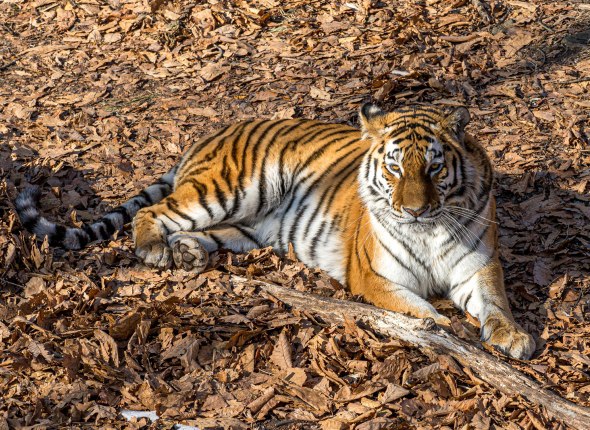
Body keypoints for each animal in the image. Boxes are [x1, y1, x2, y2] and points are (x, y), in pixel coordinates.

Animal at [17, 104, 536, 360]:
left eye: (433, 167)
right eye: (393, 168)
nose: (414, 210)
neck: (430, 229)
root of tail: (209, 136)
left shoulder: (478, 267)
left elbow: (496, 303)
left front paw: (513, 337)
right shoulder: (376, 277)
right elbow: (422, 312)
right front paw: (452, 330)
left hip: (248, 226)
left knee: (203, 232)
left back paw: (187, 254)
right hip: (228, 189)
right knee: (155, 211)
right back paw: (153, 251)